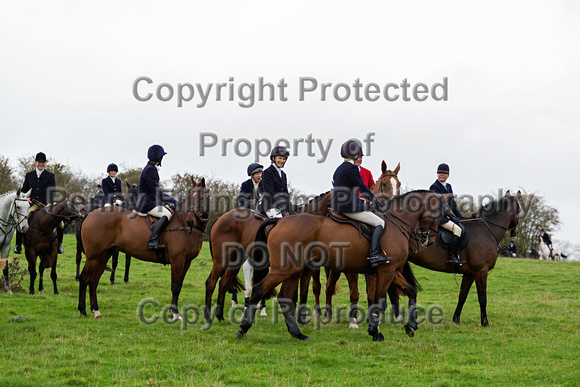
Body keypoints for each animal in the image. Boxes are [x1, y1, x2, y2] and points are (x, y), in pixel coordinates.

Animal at [79, 178, 208, 318]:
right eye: (192, 197)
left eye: (202, 197)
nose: (191, 220)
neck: (184, 223)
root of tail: (89, 214)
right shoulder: (177, 260)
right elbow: (175, 286)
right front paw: (175, 313)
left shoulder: (187, 261)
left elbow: (179, 285)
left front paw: (173, 311)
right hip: (93, 257)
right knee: (84, 278)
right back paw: (83, 310)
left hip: (103, 256)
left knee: (93, 281)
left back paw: (96, 310)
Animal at [203, 190, 330, 324]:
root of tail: (221, 218)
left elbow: (302, 292)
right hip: (220, 260)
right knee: (210, 283)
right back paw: (208, 317)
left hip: (235, 262)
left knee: (223, 283)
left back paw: (220, 316)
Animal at [236, 191, 448, 342]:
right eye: (440, 214)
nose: (429, 239)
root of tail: (279, 221)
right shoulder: (386, 271)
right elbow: (379, 300)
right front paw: (375, 332)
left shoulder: (392, 270)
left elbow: (411, 291)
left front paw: (410, 326)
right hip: (283, 270)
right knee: (258, 290)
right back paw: (243, 329)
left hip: (293, 271)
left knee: (285, 298)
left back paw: (298, 334)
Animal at [390, 189, 520, 332]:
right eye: (519, 210)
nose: (515, 231)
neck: (485, 230)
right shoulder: (481, 271)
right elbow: (482, 298)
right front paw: (485, 323)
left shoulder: (470, 274)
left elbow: (462, 296)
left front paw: (456, 320)